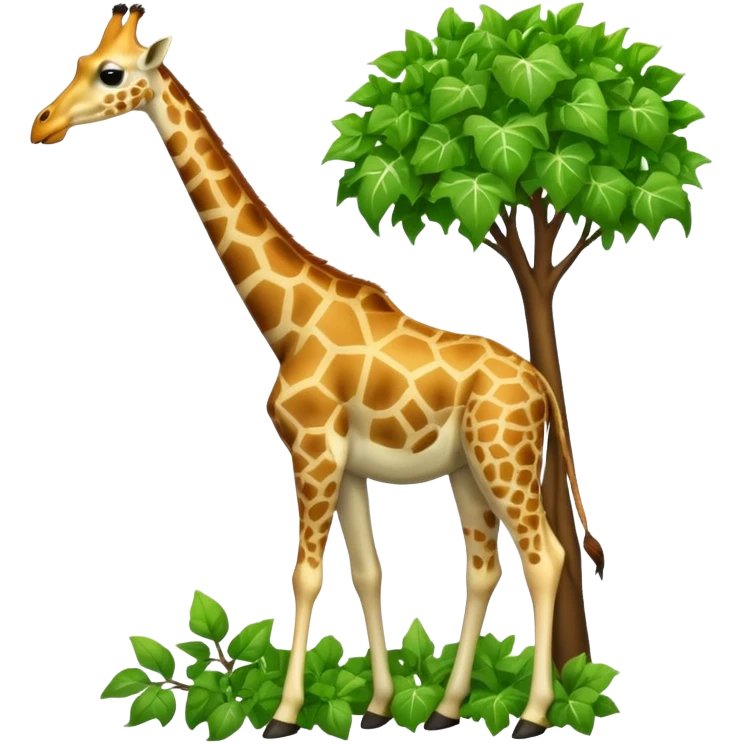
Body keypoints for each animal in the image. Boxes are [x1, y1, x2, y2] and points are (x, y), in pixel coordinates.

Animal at [30, 4, 606, 739]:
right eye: (80, 61)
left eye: (110, 72)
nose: (43, 125)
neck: (289, 322)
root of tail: (541, 385)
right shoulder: (349, 465)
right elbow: (366, 571)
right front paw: (378, 706)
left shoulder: (311, 450)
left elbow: (305, 574)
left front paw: (283, 713)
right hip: (467, 468)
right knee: (484, 566)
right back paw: (445, 707)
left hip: (505, 458)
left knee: (546, 556)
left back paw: (532, 714)